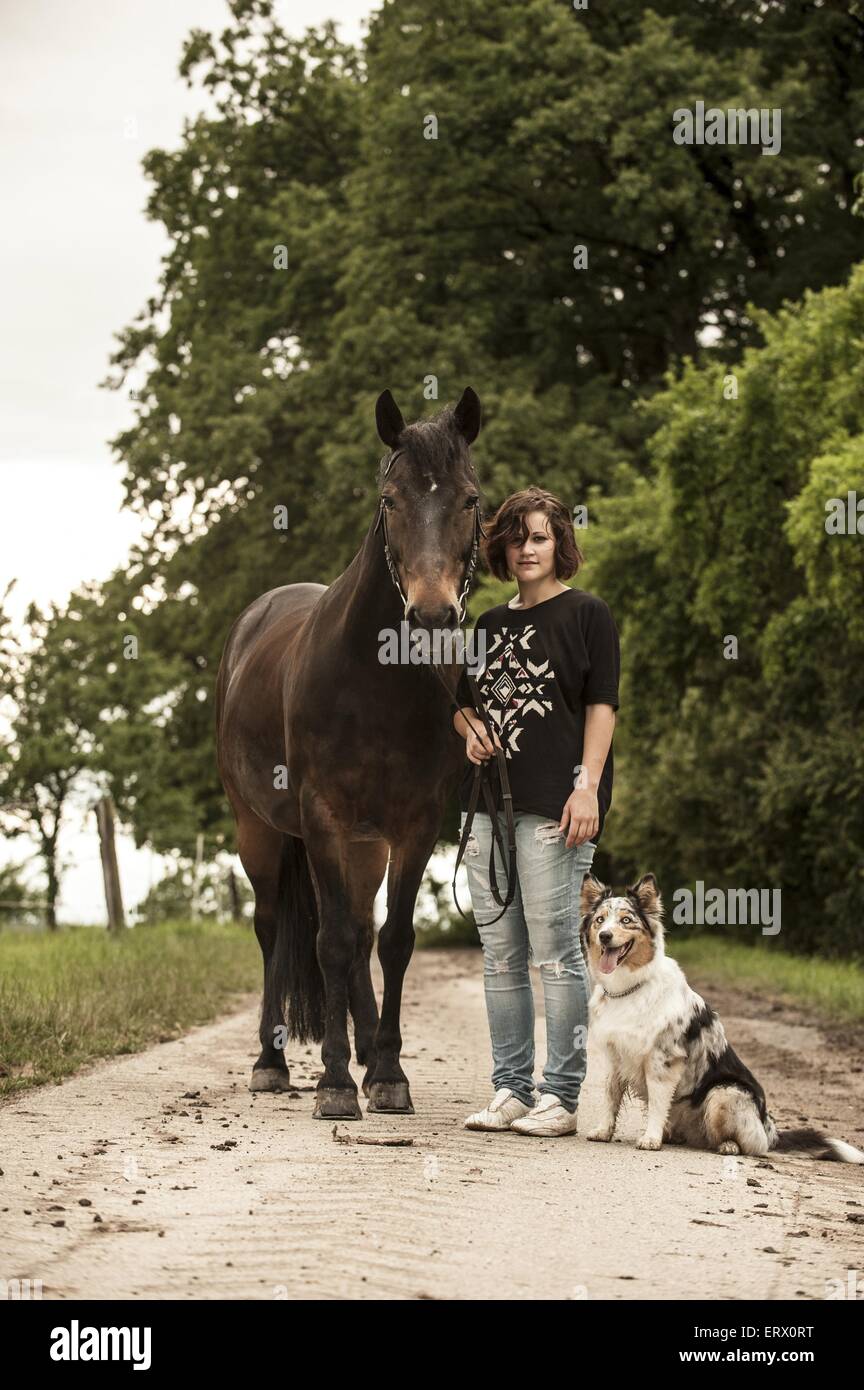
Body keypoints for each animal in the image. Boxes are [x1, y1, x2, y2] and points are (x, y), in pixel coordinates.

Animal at [215, 389, 488, 1117]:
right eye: (390, 499)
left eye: (470, 499)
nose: (431, 616)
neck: (377, 683)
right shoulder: (324, 819)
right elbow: (329, 943)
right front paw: (335, 1082)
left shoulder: (415, 824)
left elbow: (392, 940)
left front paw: (387, 1072)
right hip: (261, 830)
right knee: (276, 930)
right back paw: (273, 1061)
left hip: (366, 845)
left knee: (363, 929)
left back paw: (367, 1050)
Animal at [583, 878, 864, 1162]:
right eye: (600, 920)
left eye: (626, 920)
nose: (604, 936)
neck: (629, 988)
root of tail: (770, 1130)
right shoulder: (614, 1056)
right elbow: (610, 1097)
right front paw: (603, 1131)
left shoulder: (663, 1059)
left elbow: (657, 1102)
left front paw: (651, 1138)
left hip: (724, 1093)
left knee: (752, 1146)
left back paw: (728, 1146)